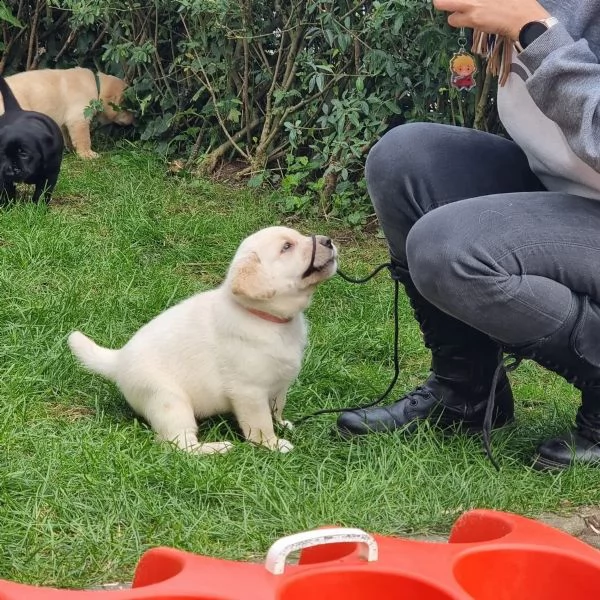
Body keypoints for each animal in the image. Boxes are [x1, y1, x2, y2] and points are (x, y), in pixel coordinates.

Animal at [0, 67, 134, 159]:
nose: (134, 119)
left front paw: (70, 149)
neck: (97, 87)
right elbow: (84, 138)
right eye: (126, 108)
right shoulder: (79, 117)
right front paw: (88, 154)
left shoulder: (66, 121)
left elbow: (68, 136)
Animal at [0, 74, 64, 204]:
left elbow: (42, 192)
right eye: (3, 154)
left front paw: (38, 206)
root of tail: (15, 109)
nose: (10, 171)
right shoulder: (3, 174)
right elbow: (7, 190)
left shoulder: (51, 174)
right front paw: (8, 205)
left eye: (24, 154)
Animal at [70, 227, 338, 452]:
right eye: (286, 247)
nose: (328, 240)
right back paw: (218, 448)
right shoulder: (249, 391)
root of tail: (118, 359)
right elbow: (260, 424)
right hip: (170, 402)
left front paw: (283, 424)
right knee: (180, 445)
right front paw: (273, 444)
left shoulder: (279, 384)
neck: (265, 318)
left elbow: (277, 408)